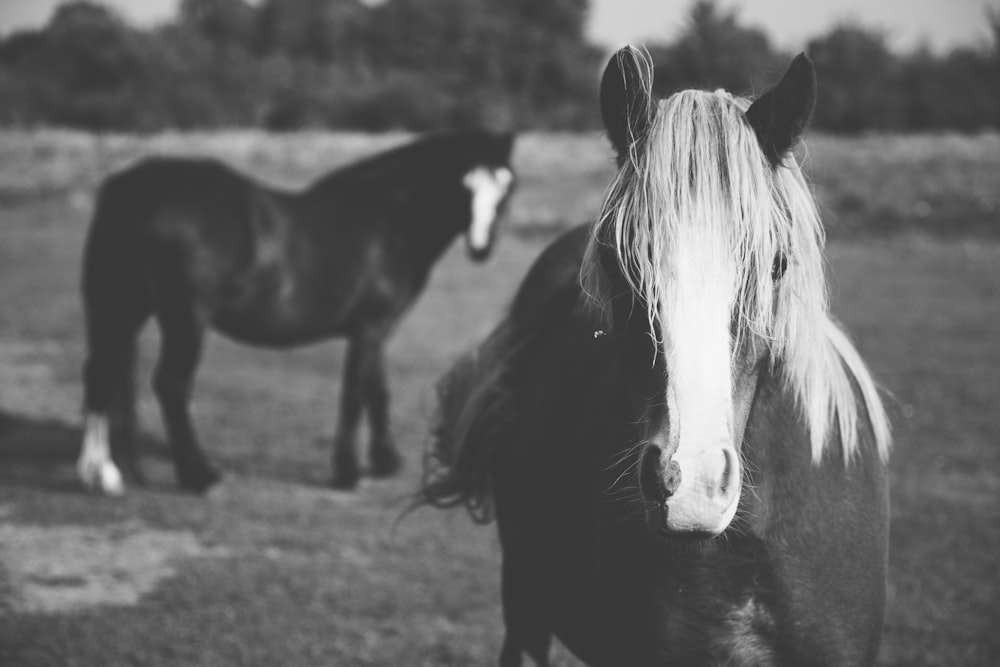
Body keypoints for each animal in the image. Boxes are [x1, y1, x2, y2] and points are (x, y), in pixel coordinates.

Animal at [72, 129, 516, 496]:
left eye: (506, 184)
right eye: (464, 183)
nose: (481, 247)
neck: (387, 222)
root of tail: (131, 187)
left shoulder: (376, 330)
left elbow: (377, 388)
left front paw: (385, 461)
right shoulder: (369, 327)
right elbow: (356, 393)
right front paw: (347, 473)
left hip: (122, 306)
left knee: (101, 374)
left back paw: (102, 474)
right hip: (186, 317)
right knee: (170, 385)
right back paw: (197, 475)